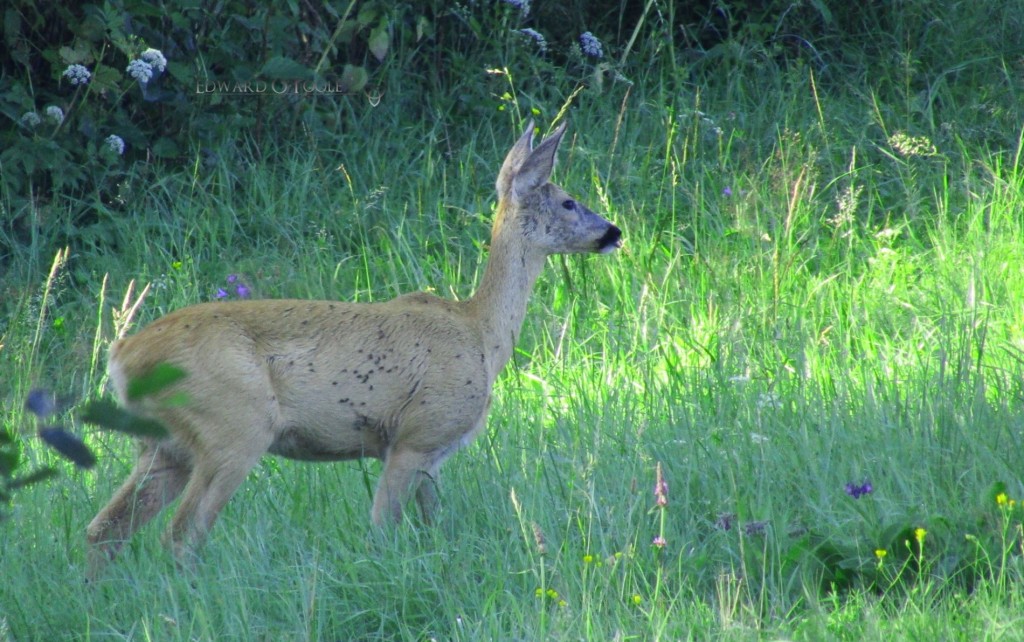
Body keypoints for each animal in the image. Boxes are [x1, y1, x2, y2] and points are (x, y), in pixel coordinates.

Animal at [88, 121, 618, 577]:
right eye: (569, 202)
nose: (613, 232)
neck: (481, 332)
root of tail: (121, 356)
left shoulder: (432, 455)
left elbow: (435, 524)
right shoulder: (415, 436)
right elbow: (381, 530)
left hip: (163, 446)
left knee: (104, 530)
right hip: (232, 428)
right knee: (180, 535)